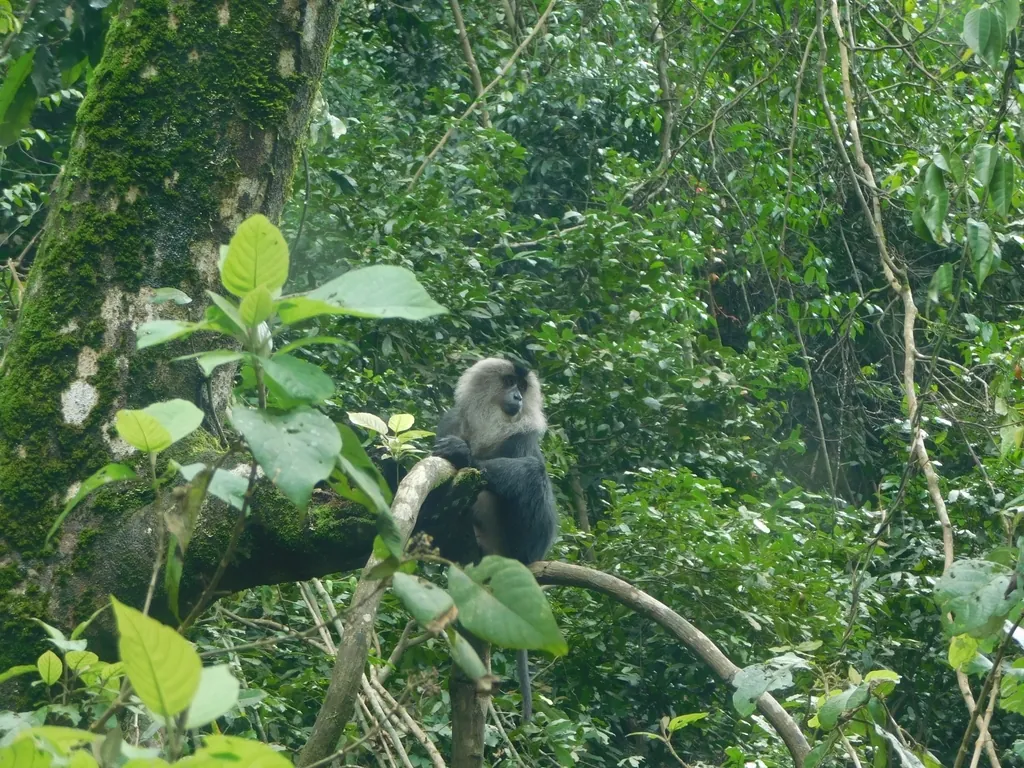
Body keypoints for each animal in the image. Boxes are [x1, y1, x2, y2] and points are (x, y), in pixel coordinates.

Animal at [432, 357, 558, 721]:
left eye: (523, 387)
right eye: (509, 382)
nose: (518, 396)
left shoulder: (523, 435)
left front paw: (465, 456)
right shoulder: (451, 421)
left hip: (529, 546)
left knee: (533, 473)